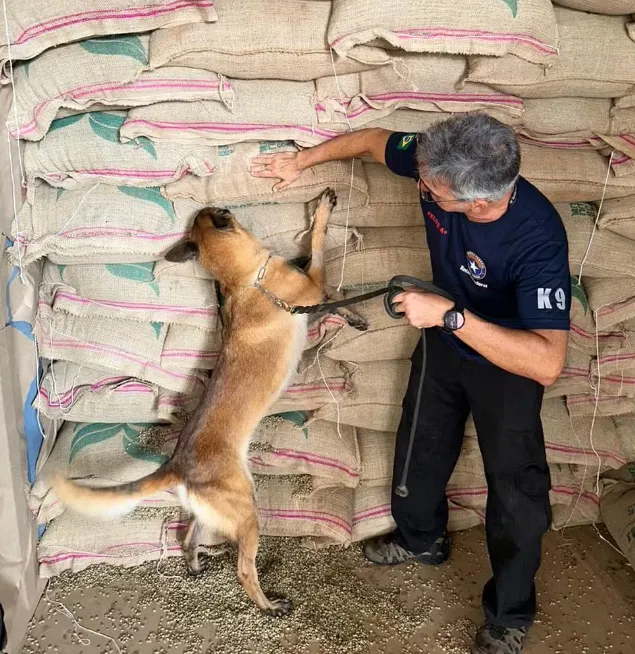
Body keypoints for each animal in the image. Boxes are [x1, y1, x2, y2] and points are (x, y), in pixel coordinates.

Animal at [49, 188, 362, 616]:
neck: (246, 280)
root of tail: (177, 466)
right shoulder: (312, 282)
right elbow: (318, 247)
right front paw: (323, 212)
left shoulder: (312, 295)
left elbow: (335, 299)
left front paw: (355, 316)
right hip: (246, 509)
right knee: (244, 570)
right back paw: (269, 605)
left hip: (208, 510)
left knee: (187, 537)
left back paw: (195, 565)